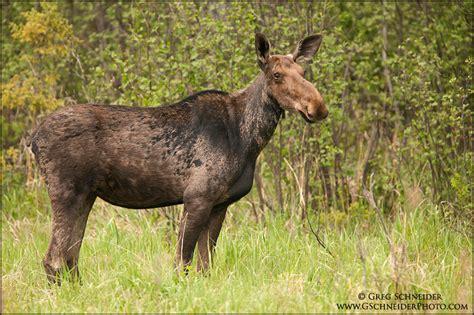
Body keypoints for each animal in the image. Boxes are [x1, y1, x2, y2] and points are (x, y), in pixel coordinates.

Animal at [31, 33, 328, 286]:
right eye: (277, 75)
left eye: (303, 72)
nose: (318, 107)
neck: (248, 140)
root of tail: (33, 140)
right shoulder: (197, 197)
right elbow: (182, 262)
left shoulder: (220, 205)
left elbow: (205, 266)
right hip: (66, 192)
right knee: (54, 258)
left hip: (85, 195)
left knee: (70, 257)